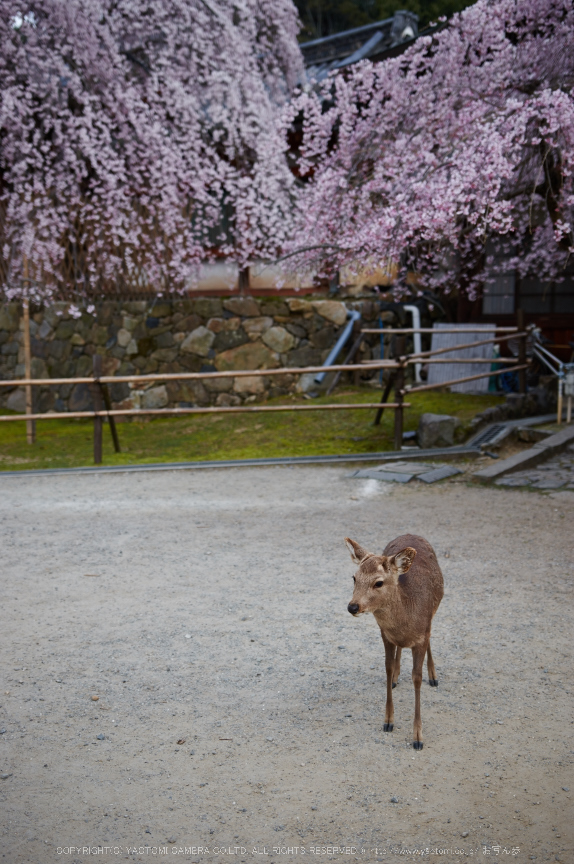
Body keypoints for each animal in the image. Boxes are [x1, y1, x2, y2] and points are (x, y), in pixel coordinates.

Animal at [346, 532, 446, 748]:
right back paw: (396, 677)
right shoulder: (385, 635)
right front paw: (388, 721)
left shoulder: (421, 636)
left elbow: (417, 678)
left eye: (378, 582)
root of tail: (411, 534)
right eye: (354, 578)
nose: (353, 607)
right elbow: (388, 668)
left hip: (433, 614)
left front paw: (417, 737)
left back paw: (433, 675)